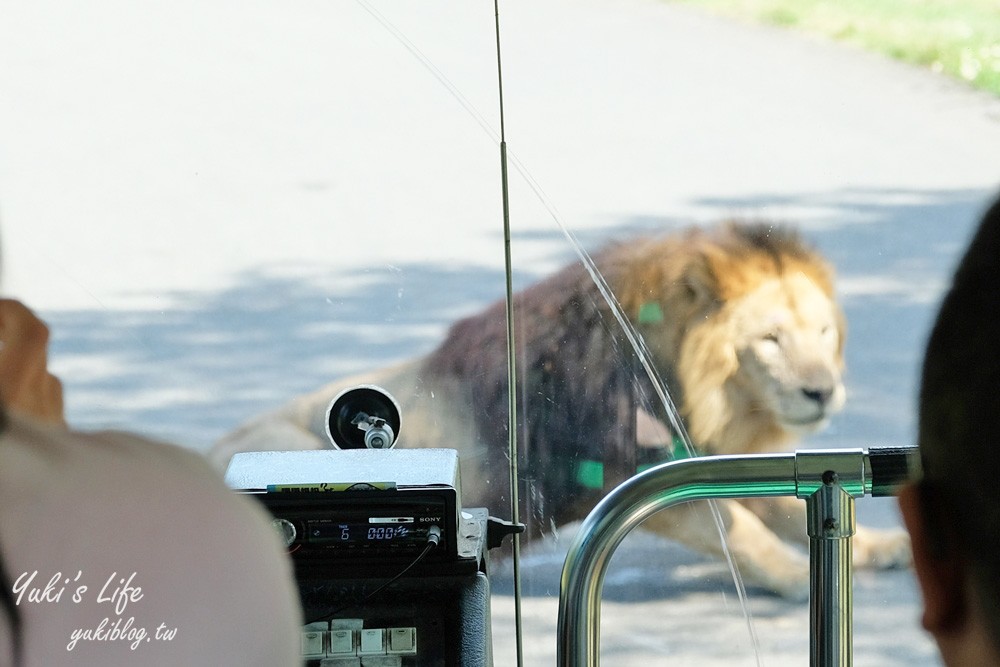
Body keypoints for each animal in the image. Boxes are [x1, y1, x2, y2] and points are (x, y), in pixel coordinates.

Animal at [213, 222, 916, 596]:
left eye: (822, 333)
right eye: (770, 339)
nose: (823, 390)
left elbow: (776, 507)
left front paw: (880, 548)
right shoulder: (620, 473)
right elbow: (740, 530)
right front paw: (797, 579)